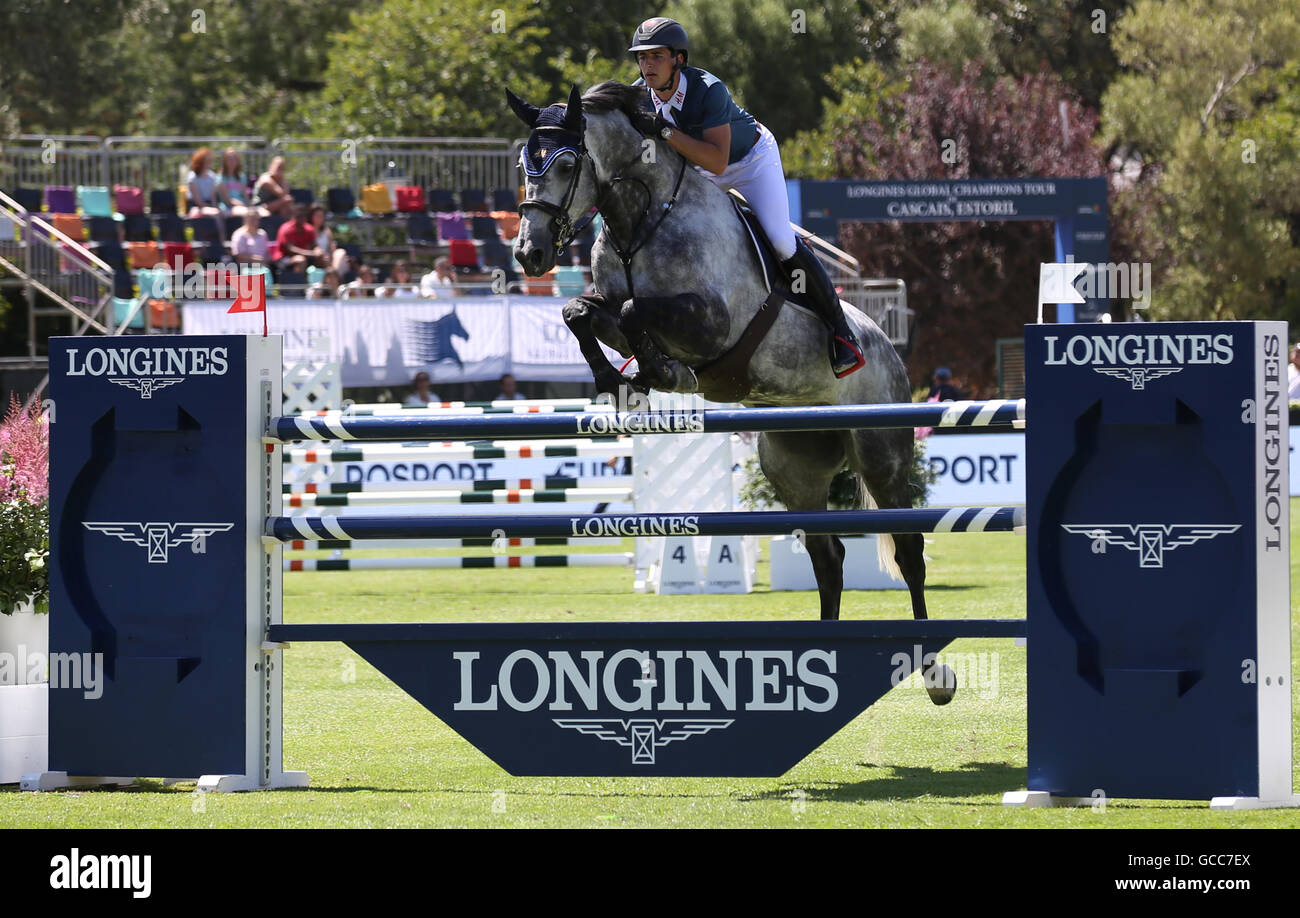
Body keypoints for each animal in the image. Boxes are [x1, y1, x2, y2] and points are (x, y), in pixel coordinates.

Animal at [509, 83, 956, 702]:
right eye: (522, 165)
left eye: (567, 164)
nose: (528, 254)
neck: (639, 222)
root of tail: (889, 347)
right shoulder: (610, 309)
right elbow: (582, 311)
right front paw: (621, 384)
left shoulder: (713, 322)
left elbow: (636, 309)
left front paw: (661, 374)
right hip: (793, 465)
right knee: (828, 557)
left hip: (881, 453)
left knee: (909, 549)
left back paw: (935, 676)